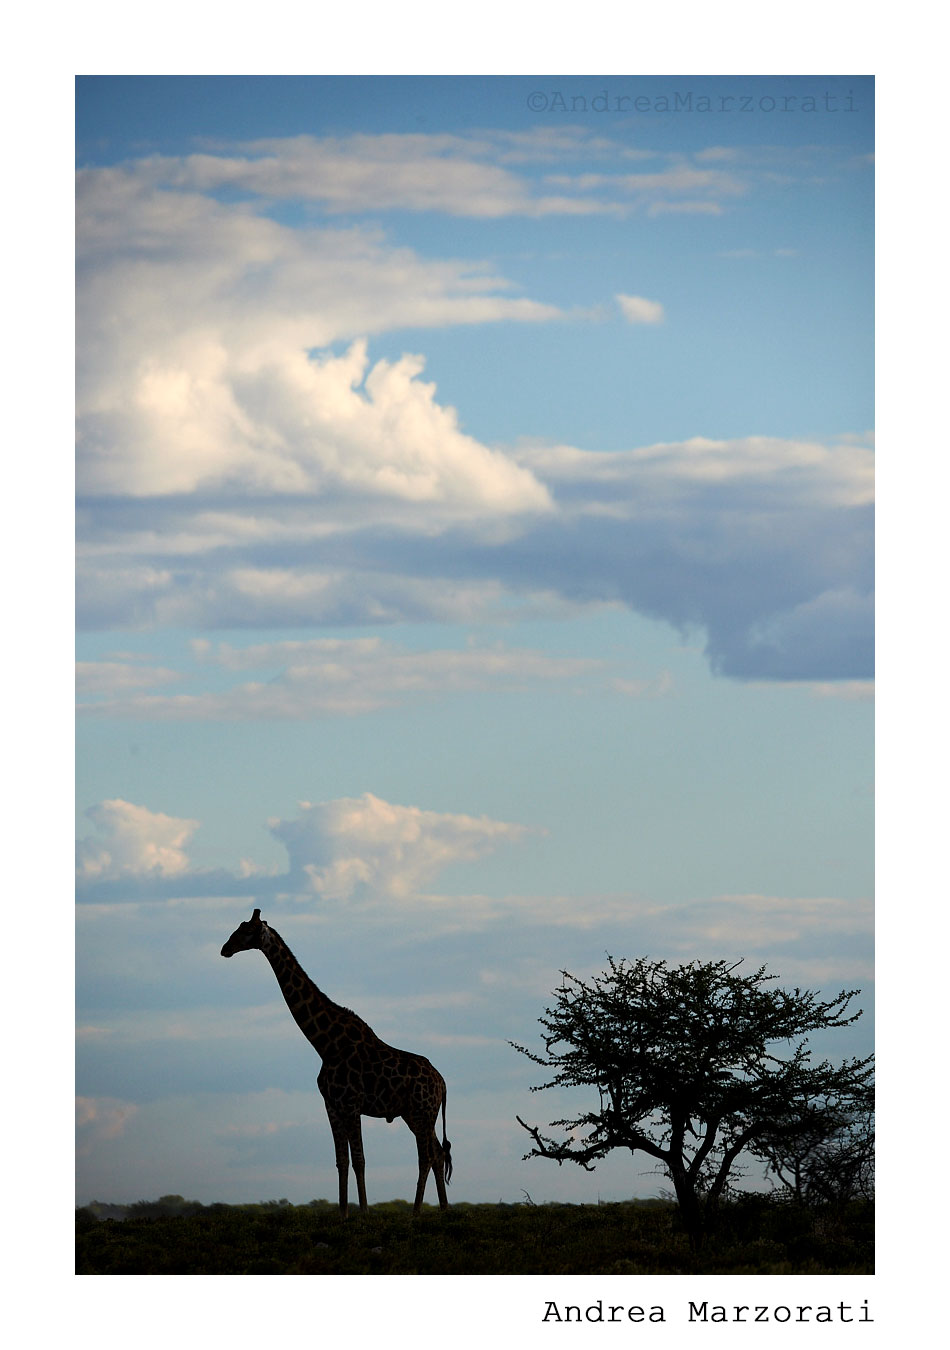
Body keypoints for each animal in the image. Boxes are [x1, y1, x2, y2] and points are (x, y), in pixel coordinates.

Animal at [221, 908, 452, 1217]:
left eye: (246, 931)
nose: (225, 948)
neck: (325, 1045)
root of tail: (442, 1082)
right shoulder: (331, 1105)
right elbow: (342, 1160)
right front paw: (343, 1214)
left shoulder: (351, 1104)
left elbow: (360, 1159)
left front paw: (364, 1213)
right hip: (415, 1114)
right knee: (438, 1153)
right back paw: (444, 1210)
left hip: (422, 1111)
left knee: (426, 1155)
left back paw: (416, 1212)